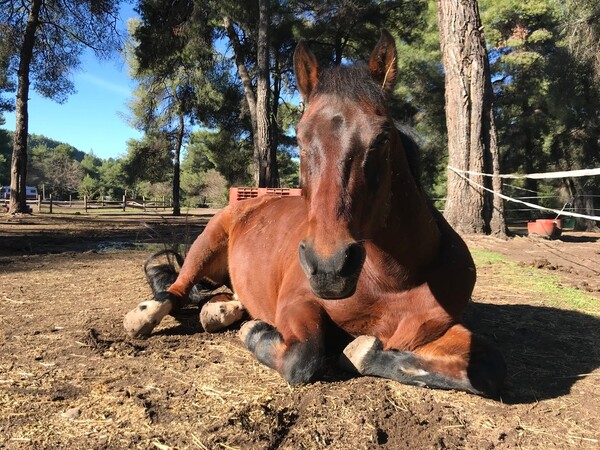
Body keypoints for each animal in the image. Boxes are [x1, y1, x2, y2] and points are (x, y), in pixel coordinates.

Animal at [124, 30, 504, 398]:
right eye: (300, 137)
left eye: (382, 138)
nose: (329, 266)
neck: (394, 281)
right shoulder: (298, 303)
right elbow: (302, 356)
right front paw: (254, 331)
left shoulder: (437, 330)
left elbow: (483, 368)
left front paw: (362, 352)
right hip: (207, 242)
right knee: (176, 288)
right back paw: (145, 316)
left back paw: (220, 310)